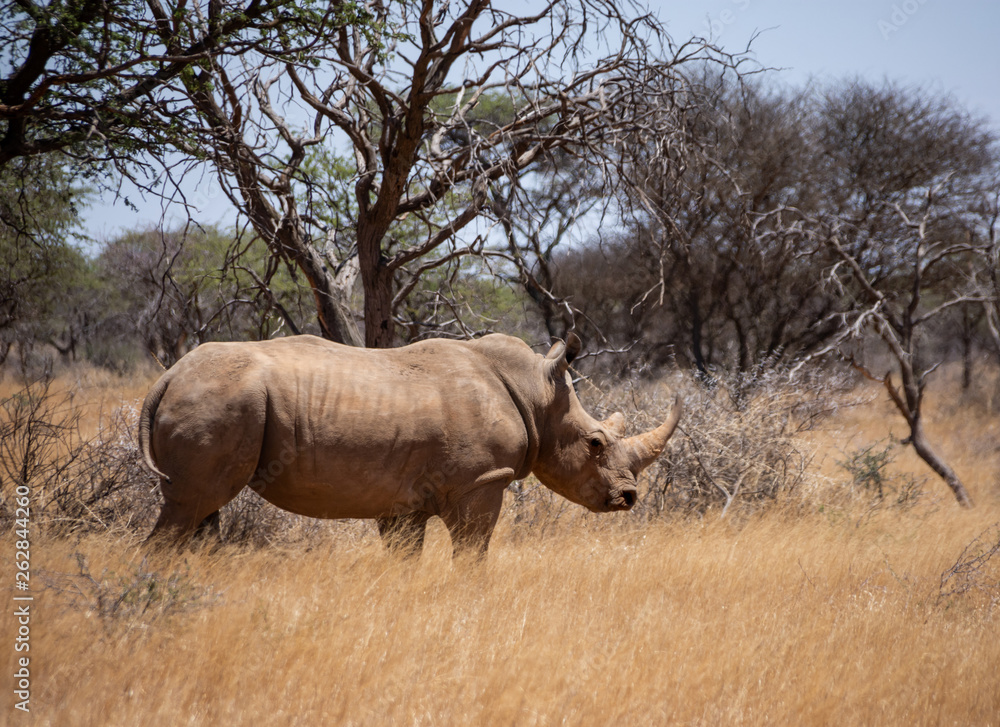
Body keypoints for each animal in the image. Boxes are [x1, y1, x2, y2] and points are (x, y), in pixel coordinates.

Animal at [138, 333, 681, 554]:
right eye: (595, 443)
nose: (629, 497)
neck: (538, 395)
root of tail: (165, 378)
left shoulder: (401, 502)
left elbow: (404, 559)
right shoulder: (481, 481)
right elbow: (473, 552)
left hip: (216, 399)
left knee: (201, 514)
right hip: (220, 399)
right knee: (191, 506)